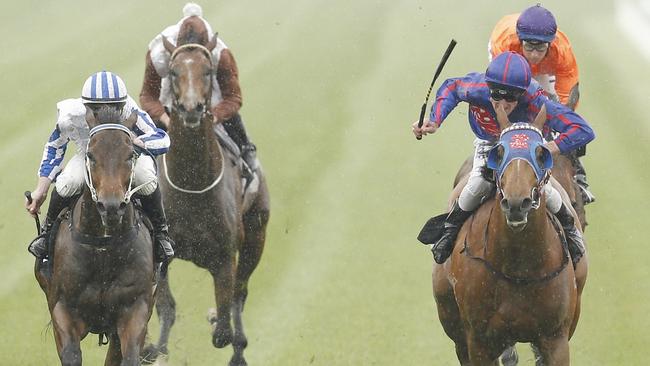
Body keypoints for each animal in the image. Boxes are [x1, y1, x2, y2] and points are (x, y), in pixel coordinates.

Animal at [36, 109, 156, 366]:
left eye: (130, 155)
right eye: (90, 155)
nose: (110, 206)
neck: (103, 246)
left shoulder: (136, 307)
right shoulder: (62, 307)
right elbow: (71, 355)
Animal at [142, 16, 270, 366]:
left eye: (209, 71)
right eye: (174, 72)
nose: (191, 108)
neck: (192, 185)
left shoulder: (224, 257)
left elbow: (224, 322)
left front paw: (218, 321)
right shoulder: (160, 254)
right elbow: (166, 308)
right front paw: (152, 348)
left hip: (256, 235)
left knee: (240, 293)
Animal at [430, 109, 588, 366]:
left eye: (541, 154)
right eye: (500, 152)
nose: (516, 203)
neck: (519, 269)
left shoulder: (556, 339)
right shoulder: (480, 341)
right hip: (453, 321)